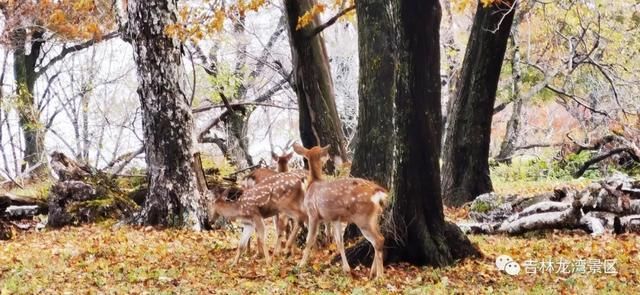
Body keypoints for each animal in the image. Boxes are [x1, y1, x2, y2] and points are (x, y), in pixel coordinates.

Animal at [292, 143, 388, 280]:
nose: (328, 158)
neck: (313, 184)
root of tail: (378, 193)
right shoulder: (334, 218)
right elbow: (339, 242)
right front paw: (346, 268)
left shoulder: (313, 213)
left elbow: (309, 239)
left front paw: (301, 264)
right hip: (374, 217)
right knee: (378, 239)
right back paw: (372, 272)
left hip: (363, 217)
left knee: (378, 239)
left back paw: (379, 276)